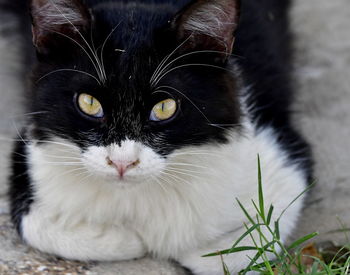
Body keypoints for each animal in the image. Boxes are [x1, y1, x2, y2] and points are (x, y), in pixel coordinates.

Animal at [6, 0, 312, 274]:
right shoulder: (30, 147)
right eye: (89, 103)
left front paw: (197, 250)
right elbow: (32, 222)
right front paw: (128, 239)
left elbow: (256, 238)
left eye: (164, 108)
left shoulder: (280, 150)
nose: (122, 162)